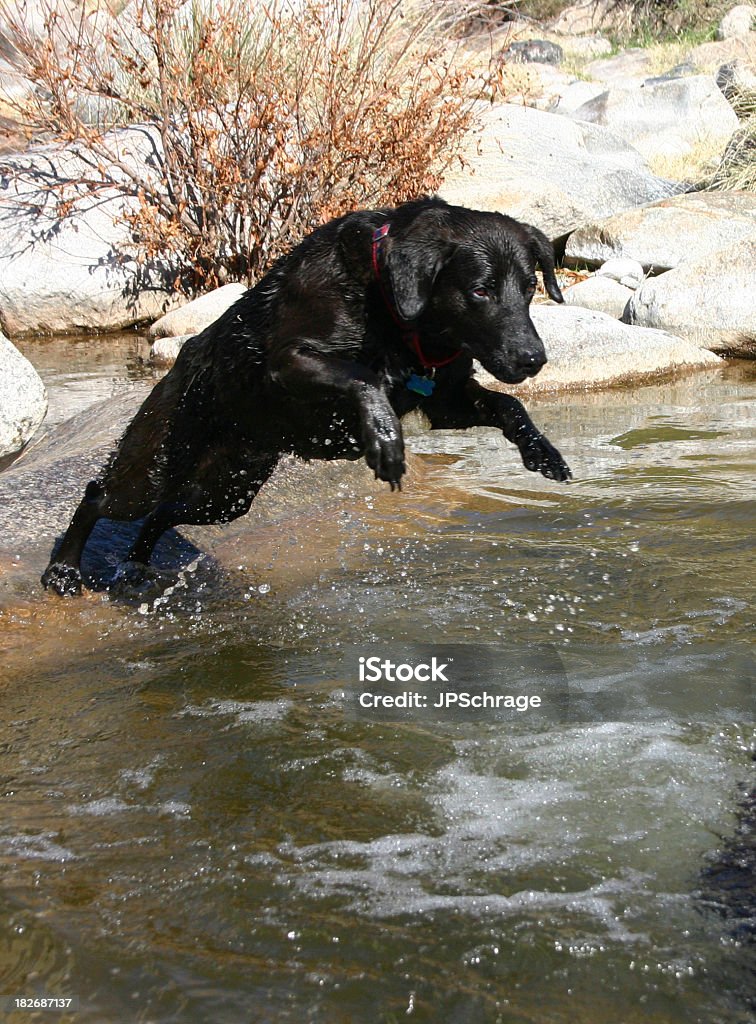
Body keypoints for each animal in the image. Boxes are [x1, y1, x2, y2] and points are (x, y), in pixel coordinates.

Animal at [41, 195, 569, 598]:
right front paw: (384, 440)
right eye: (480, 291)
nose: (533, 359)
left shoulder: (446, 400)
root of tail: (179, 362)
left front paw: (543, 452)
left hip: (225, 494)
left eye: (529, 287)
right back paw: (63, 571)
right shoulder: (290, 361)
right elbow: (364, 379)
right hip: (157, 463)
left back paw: (136, 563)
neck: (392, 305)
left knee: (164, 515)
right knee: (100, 495)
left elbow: (509, 405)